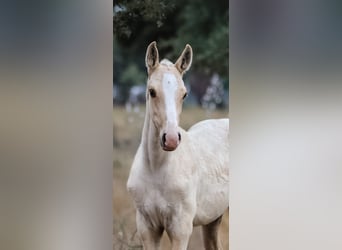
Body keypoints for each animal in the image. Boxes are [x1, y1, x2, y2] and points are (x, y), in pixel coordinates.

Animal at [127, 41, 228, 250]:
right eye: (151, 91)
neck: (156, 169)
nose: (171, 139)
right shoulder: (147, 228)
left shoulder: (180, 230)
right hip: (213, 219)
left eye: (184, 94)